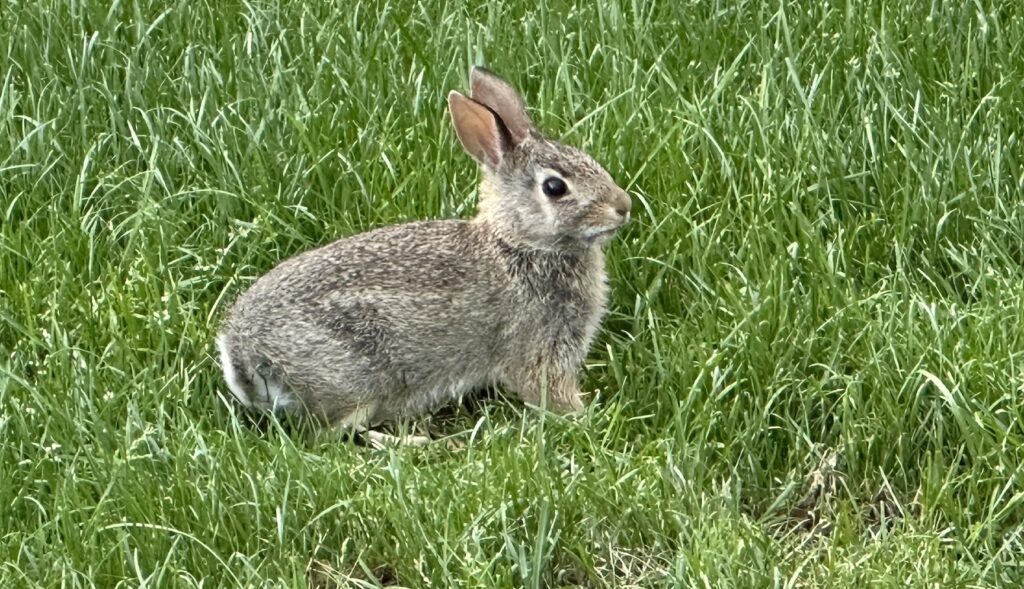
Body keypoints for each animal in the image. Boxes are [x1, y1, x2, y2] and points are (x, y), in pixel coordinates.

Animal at [216, 66, 632, 444]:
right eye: (554, 187)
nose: (624, 206)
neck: (520, 243)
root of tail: (241, 352)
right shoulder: (540, 347)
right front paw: (585, 417)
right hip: (354, 382)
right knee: (328, 436)